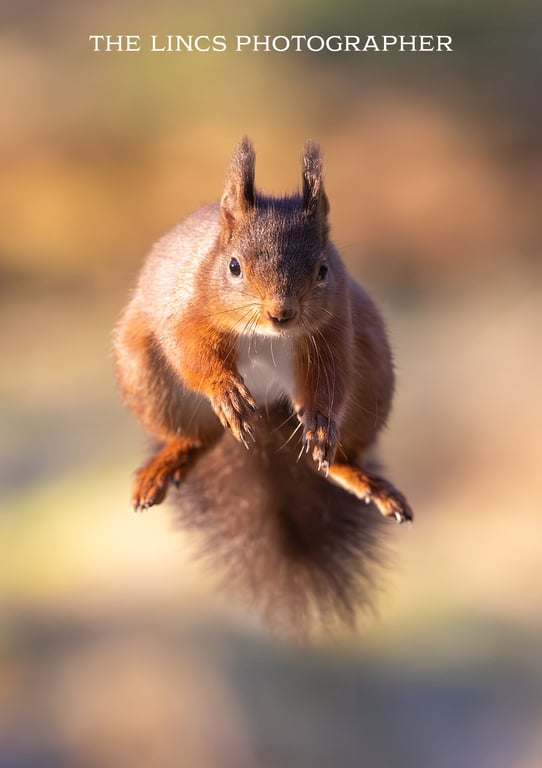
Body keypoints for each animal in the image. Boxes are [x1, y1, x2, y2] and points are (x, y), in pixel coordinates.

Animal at [113, 137, 412, 631]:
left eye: (323, 270)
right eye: (233, 267)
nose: (282, 313)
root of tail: (273, 408)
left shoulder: (335, 329)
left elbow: (332, 376)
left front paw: (321, 420)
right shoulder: (187, 312)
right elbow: (192, 352)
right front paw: (226, 391)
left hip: (372, 374)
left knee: (336, 456)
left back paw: (355, 473)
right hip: (148, 376)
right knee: (198, 438)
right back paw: (169, 462)